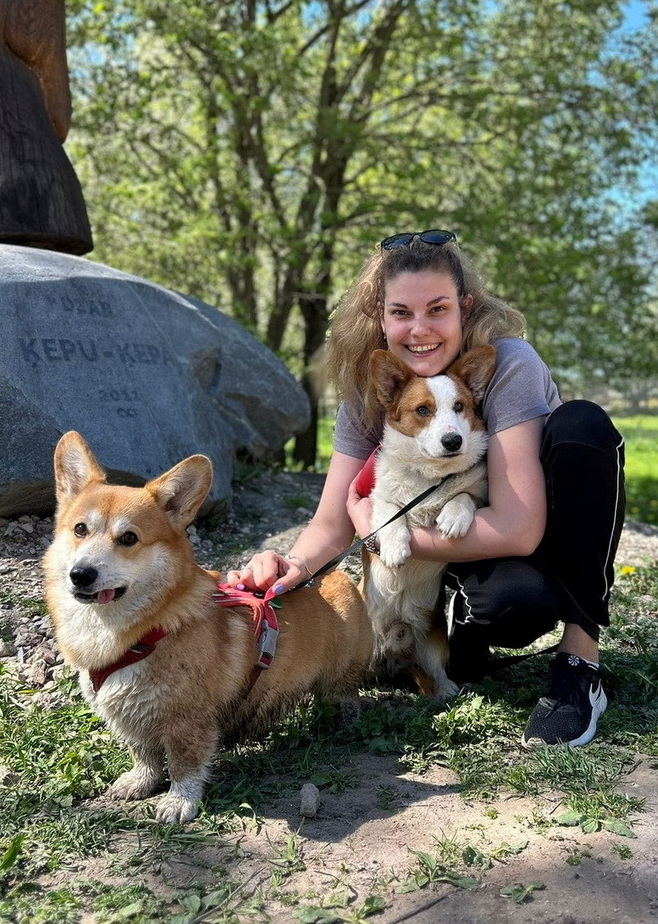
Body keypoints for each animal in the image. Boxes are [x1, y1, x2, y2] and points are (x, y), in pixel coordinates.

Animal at [43, 432, 373, 824]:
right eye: (80, 529)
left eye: (129, 538)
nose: (80, 574)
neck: (141, 631)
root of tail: (336, 576)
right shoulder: (132, 714)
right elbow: (144, 754)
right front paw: (139, 782)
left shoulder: (188, 721)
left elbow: (184, 765)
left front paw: (178, 803)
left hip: (342, 678)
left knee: (346, 698)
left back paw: (344, 726)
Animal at [361, 345, 497, 699]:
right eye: (423, 410)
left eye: (459, 407)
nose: (453, 441)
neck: (429, 476)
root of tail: (393, 652)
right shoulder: (375, 499)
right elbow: (390, 514)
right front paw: (395, 548)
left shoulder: (481, 496)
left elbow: (463, 496)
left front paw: (453, 517)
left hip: (433, 641)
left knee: (435, 670)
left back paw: (446, 688)